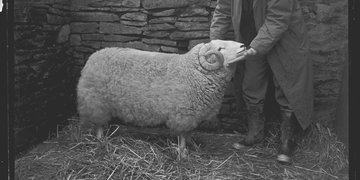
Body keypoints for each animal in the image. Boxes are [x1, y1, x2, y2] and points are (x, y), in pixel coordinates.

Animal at [77, 39, 246, 158]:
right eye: (220, 49)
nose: (243, 46)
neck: (195, 71)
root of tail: (93, 56)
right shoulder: (183, 114)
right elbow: (182, 135)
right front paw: (182, 153)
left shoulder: (191, 115)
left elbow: (189, 133)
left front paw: (191, 145)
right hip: (95, 101)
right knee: (98, 124)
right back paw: (101, 141)